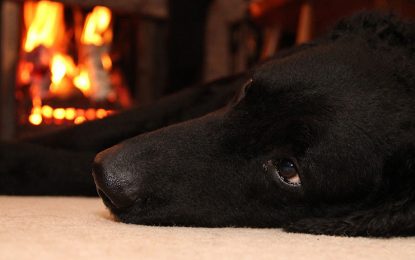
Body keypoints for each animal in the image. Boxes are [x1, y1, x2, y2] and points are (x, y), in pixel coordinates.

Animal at [0, 13, 415, 238]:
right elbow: (89, 129)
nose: (106, 175)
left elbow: (59, 164)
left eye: (288, 169)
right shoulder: (200, 95)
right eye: (248, 90)